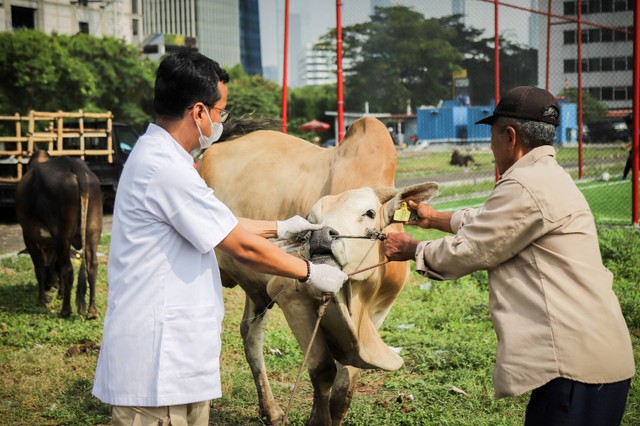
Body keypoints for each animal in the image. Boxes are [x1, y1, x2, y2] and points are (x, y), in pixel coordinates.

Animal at [15, 151, 102, 318]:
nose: (51, 286)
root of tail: (72, 165)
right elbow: (56, 266)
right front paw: (60, 293)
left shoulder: (29, 236)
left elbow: (40, 268)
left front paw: (42, 299)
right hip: (91, 231)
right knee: (92, 265)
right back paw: (92, 311)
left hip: (61, 235)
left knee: (68, 269)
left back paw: (66, 310)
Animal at [198, 115, 438, 424]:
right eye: (311, 218)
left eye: (370, 213)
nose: (321, 235)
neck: (354, 295)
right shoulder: (290, 296)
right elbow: (323, 370)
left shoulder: (377, 313)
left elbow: (345, 384)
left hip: (255, 288)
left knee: (251, 334)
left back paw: (271, 411)